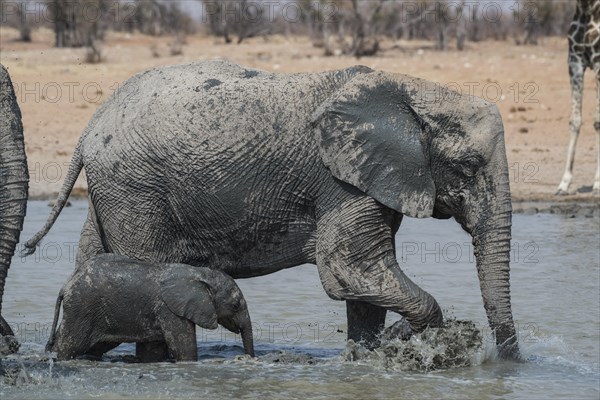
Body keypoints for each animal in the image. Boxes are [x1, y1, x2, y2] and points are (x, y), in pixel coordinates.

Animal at [46, 255, 253, 360]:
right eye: (235, 305)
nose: (248, 358)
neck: (201, 273)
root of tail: (67, 284)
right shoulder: (170, 310)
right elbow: (185, 350)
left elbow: (154, 351)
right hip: (82, 308)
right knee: (70, 345)